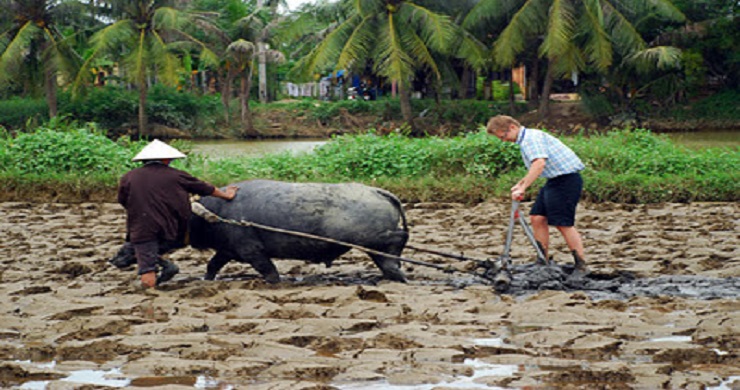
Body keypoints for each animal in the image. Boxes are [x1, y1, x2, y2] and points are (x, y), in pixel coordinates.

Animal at [189, 180, 410, 284]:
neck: (217, 212)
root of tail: (377, 191)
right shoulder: (227, 250)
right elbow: (212, 265)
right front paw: (206, 279)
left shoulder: (251, 251)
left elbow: (269, 271)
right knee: (386, 260)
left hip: (370, 238)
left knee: (399, 237)